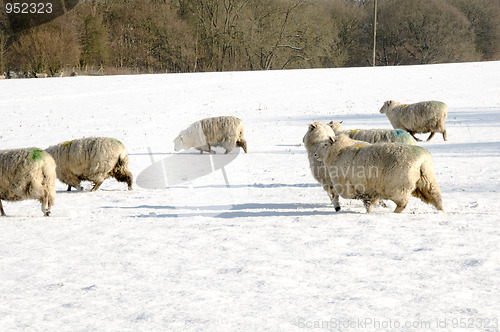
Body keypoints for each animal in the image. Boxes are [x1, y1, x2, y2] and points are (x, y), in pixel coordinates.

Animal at [314, 134, 444, 214]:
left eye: (325, 144)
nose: (315, 154)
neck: (339, 151)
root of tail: (422, 160)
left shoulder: (351, 186)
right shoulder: (368, 188)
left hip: (398, 188)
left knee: (402, 204)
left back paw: (395, 213)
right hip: (427, 182)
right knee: (436, 198)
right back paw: (442, 212)